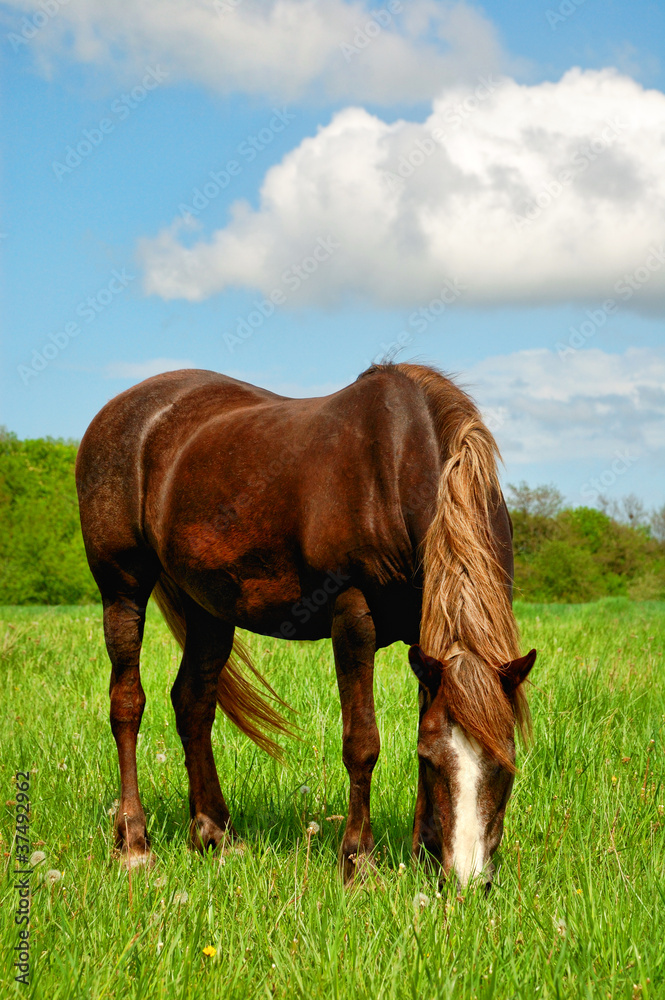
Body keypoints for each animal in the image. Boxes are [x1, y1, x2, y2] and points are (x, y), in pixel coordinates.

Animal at [76, 364, 536, 888]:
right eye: (434, 759)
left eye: (506, 762)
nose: (467, 882)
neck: (400, 464)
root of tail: (117, 411)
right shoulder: (353, 616)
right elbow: (362, 743)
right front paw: (357, 861)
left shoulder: (427, 644)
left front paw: (422, 853)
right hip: (122, 589)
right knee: (127, 704)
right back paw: (134, 843)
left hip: (209, 608)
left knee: (193, 703)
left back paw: (216, 834)